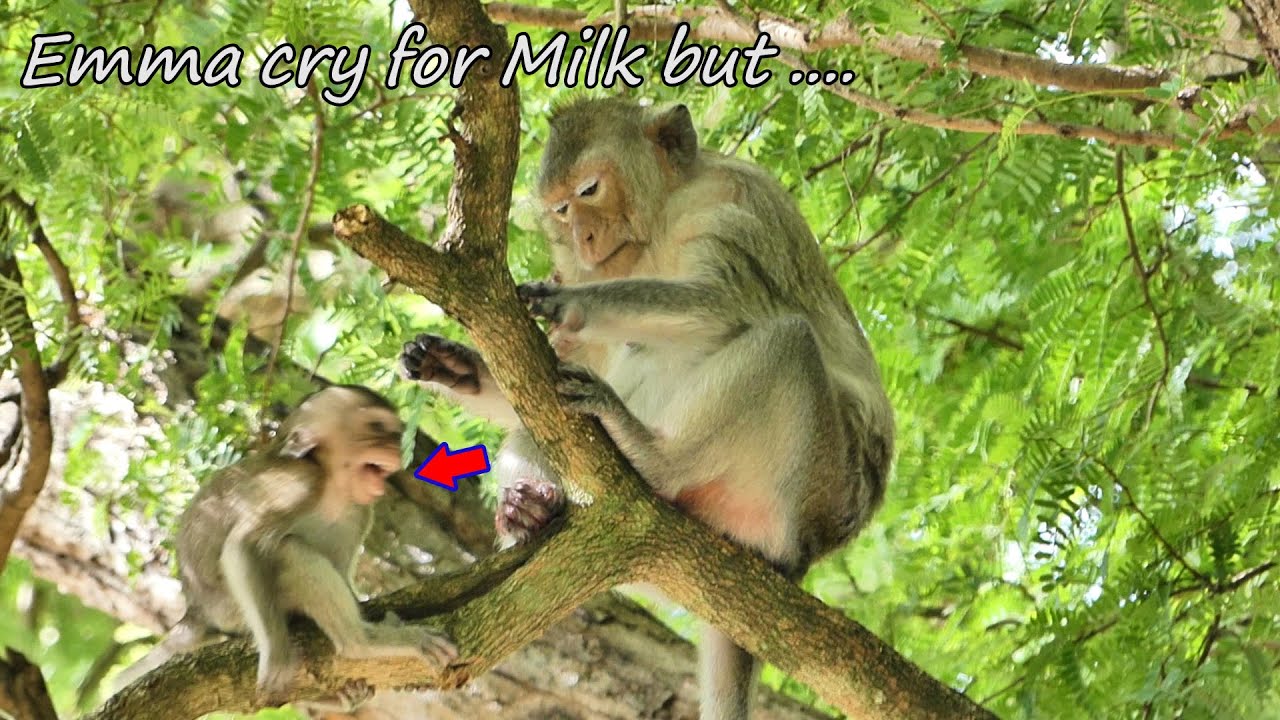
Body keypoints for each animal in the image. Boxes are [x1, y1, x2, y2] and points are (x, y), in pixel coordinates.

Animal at [113, 385, 457, 703]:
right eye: (376, 426)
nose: (396, 446)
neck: (332, 488)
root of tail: (196, 609)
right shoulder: (299, 484)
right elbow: (244, 545)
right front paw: (277, 656)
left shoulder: (362, 512)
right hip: (231, 610)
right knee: (288, 551)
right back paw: (361, 643)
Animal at [401, 97, 895, 720]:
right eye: (560, 209)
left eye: (589, 189)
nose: (583, 236)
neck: (659, 223)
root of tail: (804, 554)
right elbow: (545, 380)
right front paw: (453, 366)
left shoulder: (733, 203)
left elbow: (720, 302)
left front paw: (568, 301)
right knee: (538, 433)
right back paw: (531, 514)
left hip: (813, 484)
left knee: (788, 342)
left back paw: (651, 454)